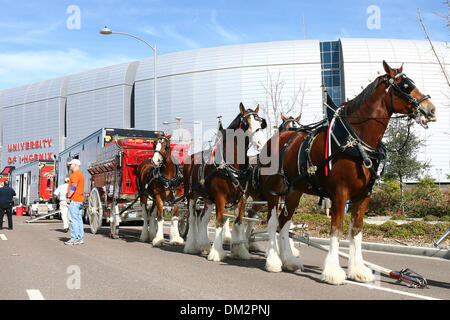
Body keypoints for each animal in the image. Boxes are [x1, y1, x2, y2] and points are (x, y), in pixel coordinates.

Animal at [183, 104, 268, 262]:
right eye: (247, 123)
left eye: (261, 123)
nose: (261, 143)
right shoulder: (220, 198)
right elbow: (220, 222)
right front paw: (217, 253)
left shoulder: (241, 198)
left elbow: (239, 222)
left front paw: (240, 251)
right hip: (191, 195)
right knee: (192, 218)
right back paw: (191, 246)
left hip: (208, 199)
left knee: (203, 219)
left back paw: (205, 246)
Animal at [255, 61, 434, 284]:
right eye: (405, 86)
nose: (431, 109)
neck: (354, 140)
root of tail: (273, 140)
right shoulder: (340, 194)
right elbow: (337, 230)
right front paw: (333, 271)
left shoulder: (363, 196)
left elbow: (356, 230)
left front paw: (358, 270)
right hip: (274, 190)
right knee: (272, 223)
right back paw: (273, 261)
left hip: (295, 191)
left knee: (284, 223)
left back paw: (289, 260)